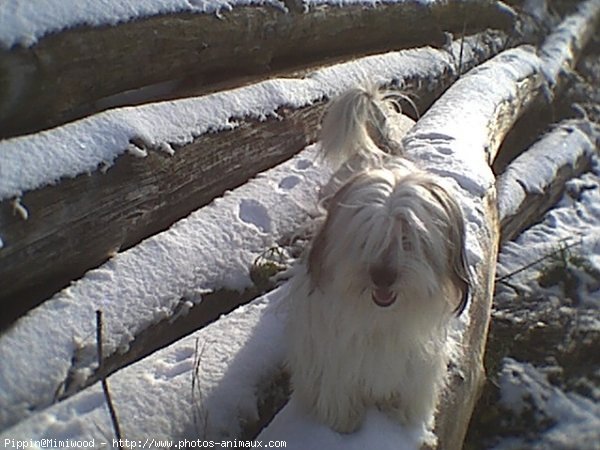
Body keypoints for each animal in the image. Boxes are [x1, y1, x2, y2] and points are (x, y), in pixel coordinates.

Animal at [284, 83, 468, 432]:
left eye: (409, 238)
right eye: (366, 236)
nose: (383, 276)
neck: (380, 317)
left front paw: (407, 416)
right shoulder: (332, 350)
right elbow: (337, 382)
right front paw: (343, 420)